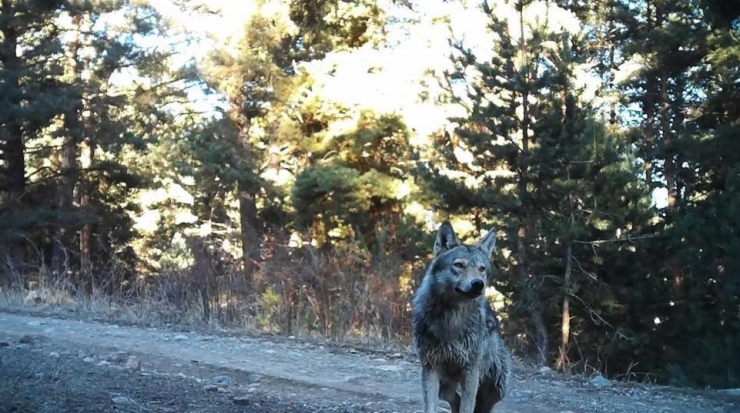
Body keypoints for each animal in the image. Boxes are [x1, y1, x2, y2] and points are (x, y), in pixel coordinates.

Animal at [410, 222, 516, 412]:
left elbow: (467, 407)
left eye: (481, 268)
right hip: (445, 383)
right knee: (453, 398)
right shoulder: (430, 367)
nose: (478, 284)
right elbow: (431, 406)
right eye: (459, 265)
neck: (451, 318)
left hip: (497, 387)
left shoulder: (471, 371)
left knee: (479, 407)